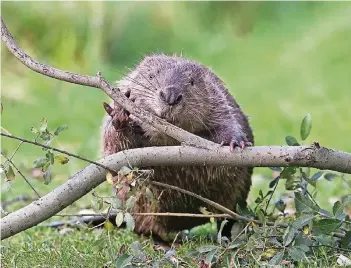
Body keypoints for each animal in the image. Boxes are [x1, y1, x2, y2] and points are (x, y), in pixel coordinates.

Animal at [100, 52, 254, 241]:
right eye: (151, 76)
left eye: (192, 81)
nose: (171, 96)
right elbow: (116, 149)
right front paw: (120, 114)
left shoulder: (219, 101)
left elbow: (228, 122)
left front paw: (235, 142)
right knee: (145, 228)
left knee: (226, 220)